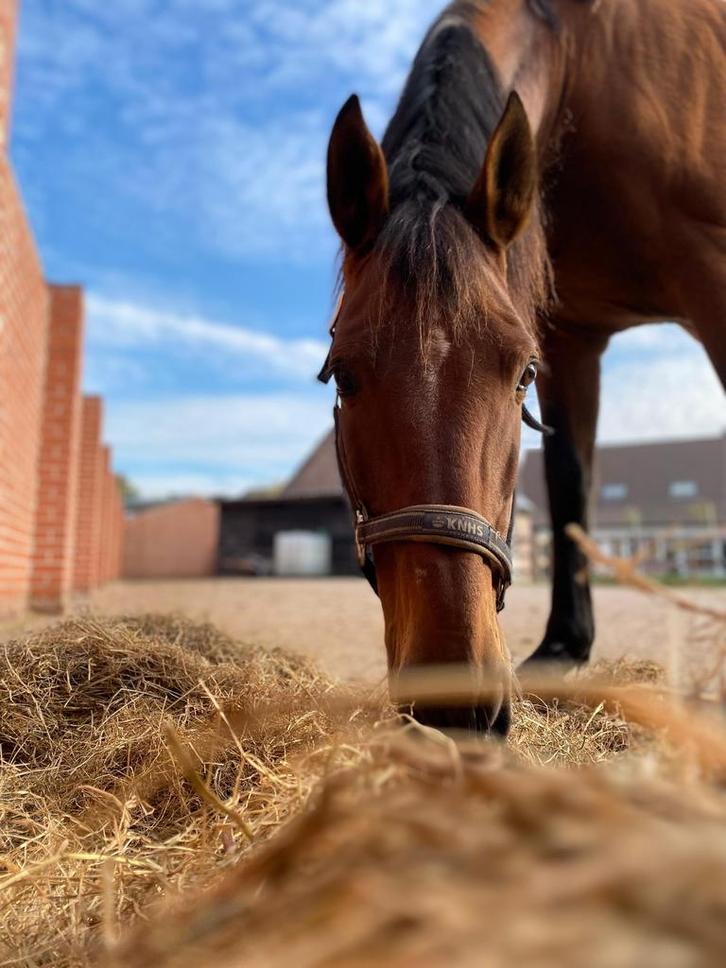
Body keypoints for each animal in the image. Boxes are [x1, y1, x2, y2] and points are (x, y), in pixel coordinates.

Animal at [320, 0, 726, 734]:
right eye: (343, 374)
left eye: (520, 377)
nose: (454, 706)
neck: (583, 61)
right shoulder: (569, 333)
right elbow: (569, 480)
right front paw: (565, 645)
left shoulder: (712, 274)